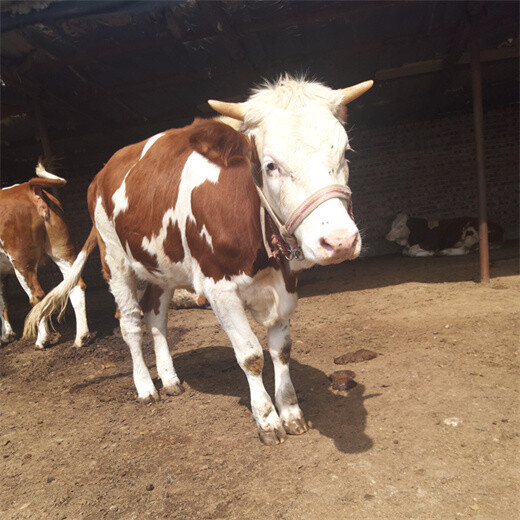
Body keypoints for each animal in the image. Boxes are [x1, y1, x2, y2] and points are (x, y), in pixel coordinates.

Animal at [0, 165, 89, 348]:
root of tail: (29, 187)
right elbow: (3, 302)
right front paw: (7, 335)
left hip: (21, 262)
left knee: (37, 296)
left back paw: (43, 339)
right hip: (62, 251)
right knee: (75, 285)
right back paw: (81, 337)